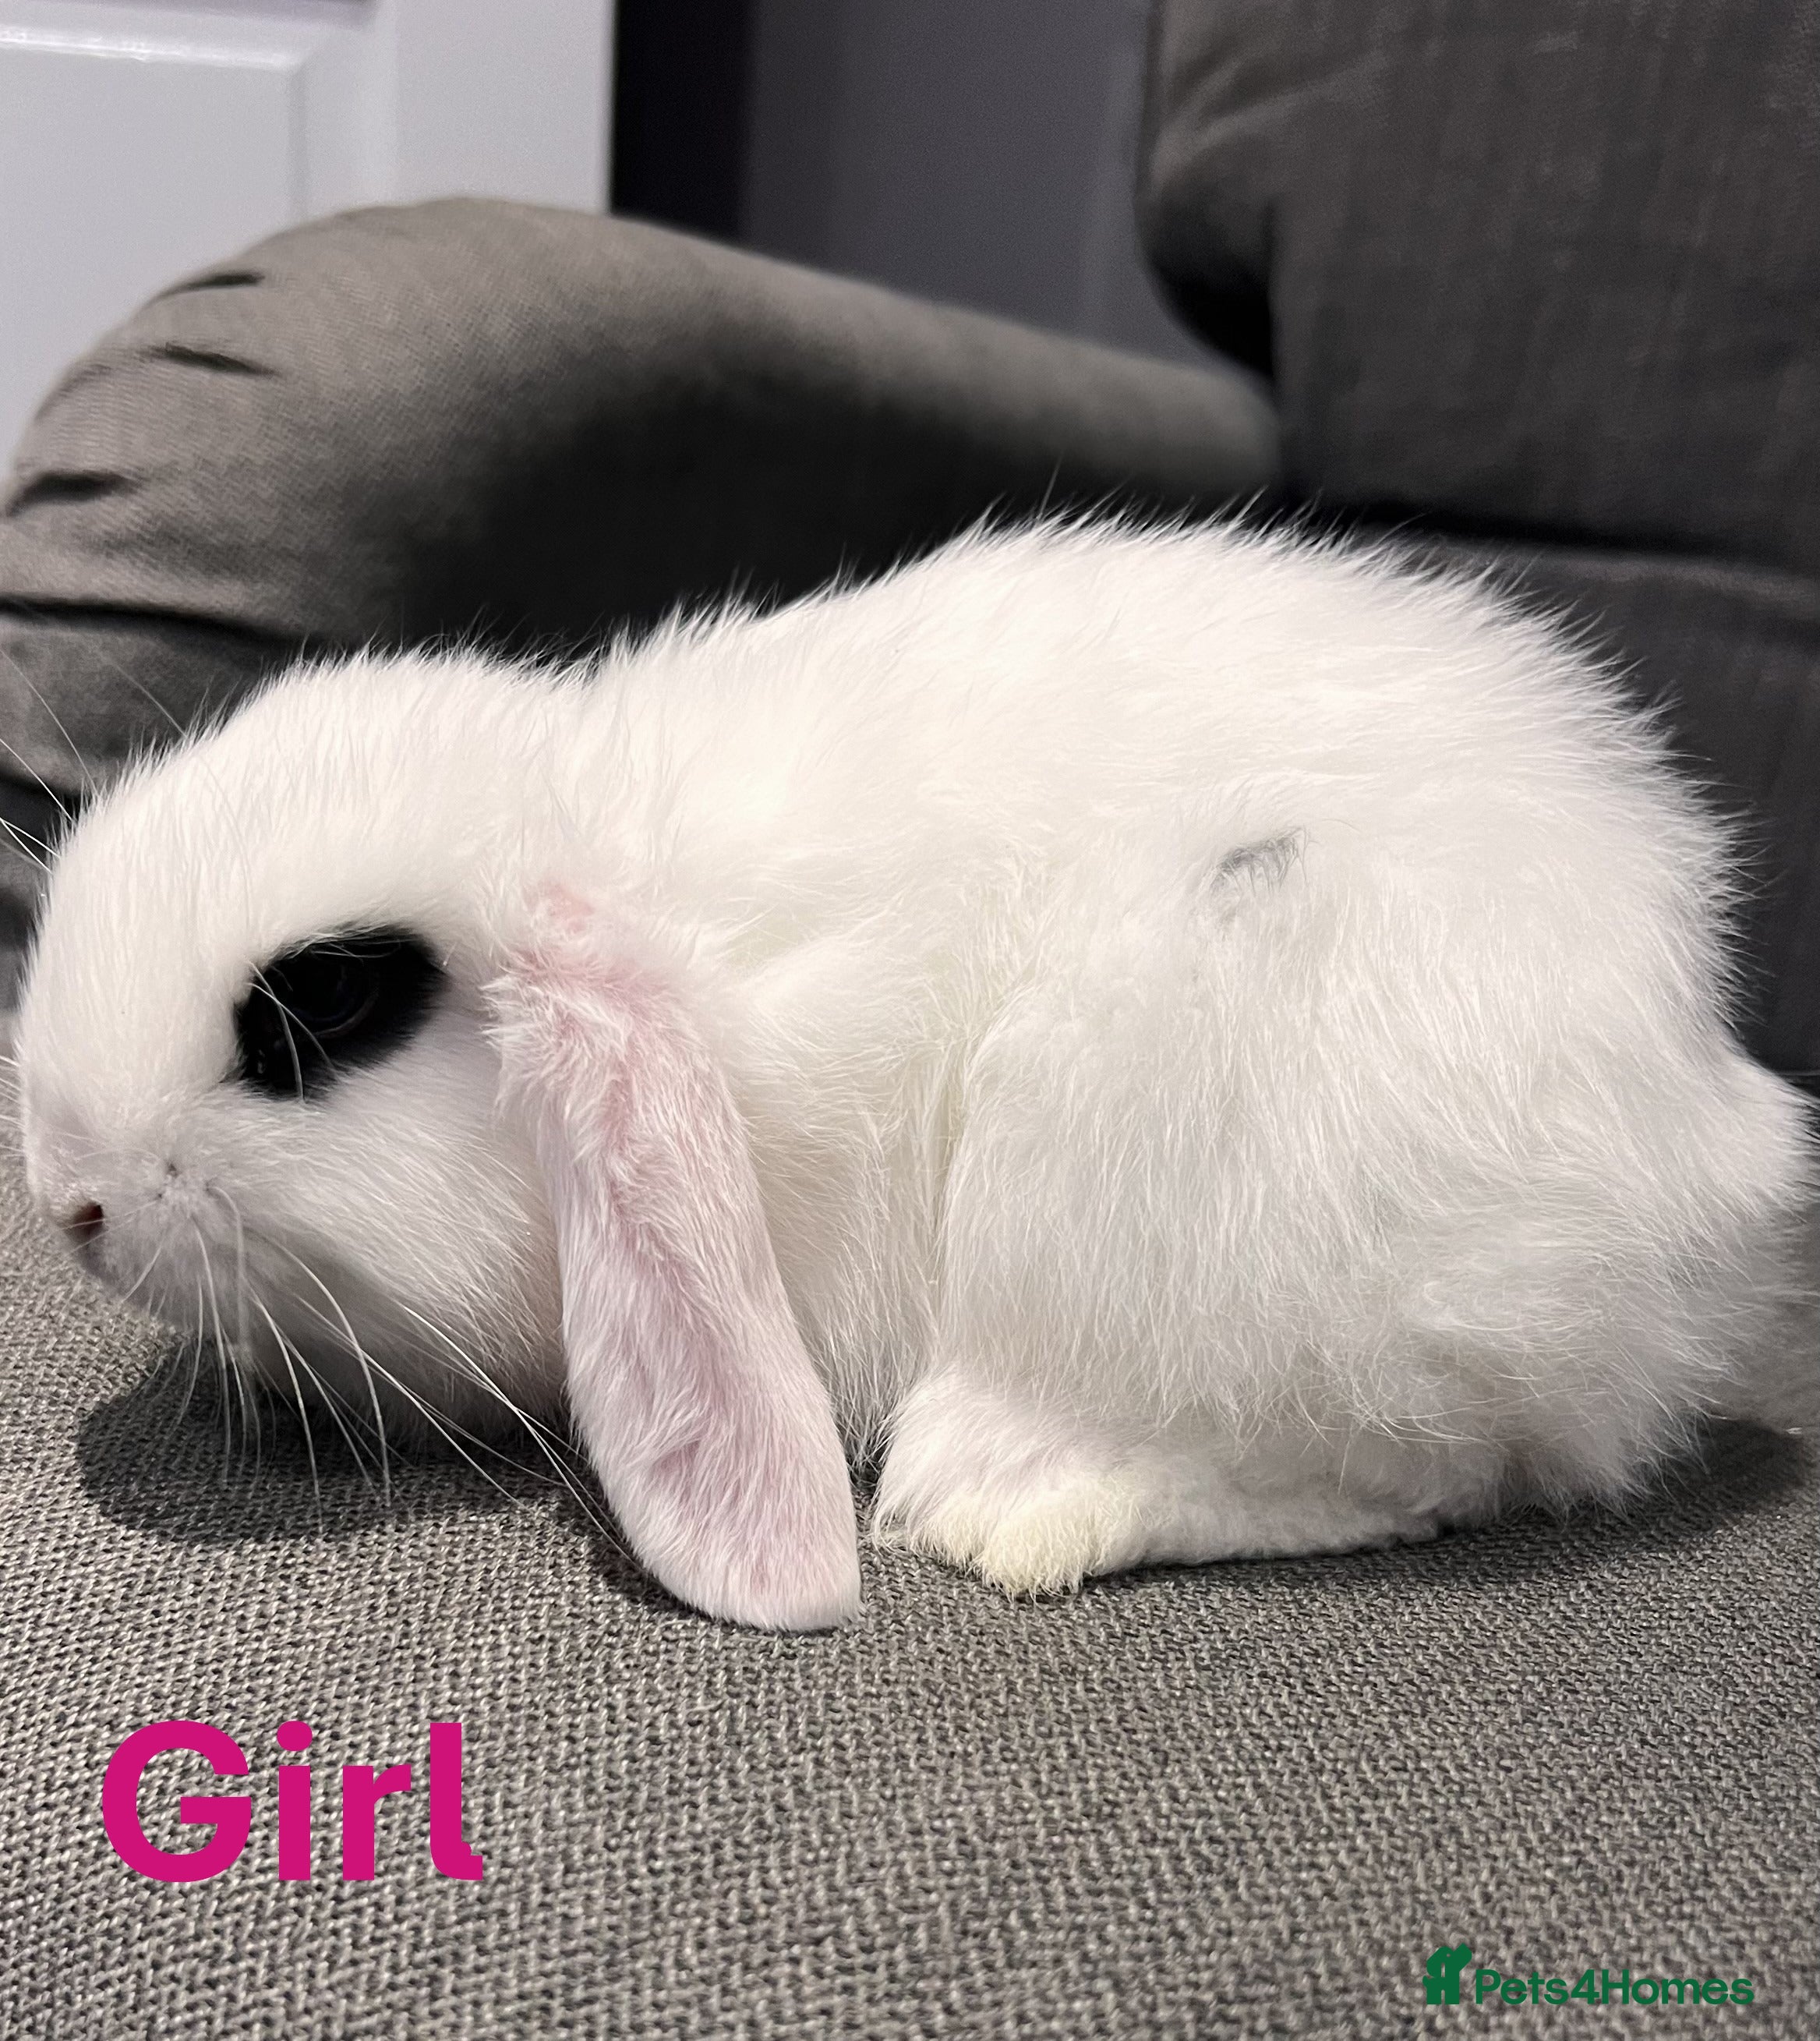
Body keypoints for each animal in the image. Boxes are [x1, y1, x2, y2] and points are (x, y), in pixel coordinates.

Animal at [13, 519, 1813, 1631]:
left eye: (325, 998)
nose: (69, 1199)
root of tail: (1709, 1137)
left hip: (1169, 1149)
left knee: (1429, 1467)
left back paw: (1009, 1499)